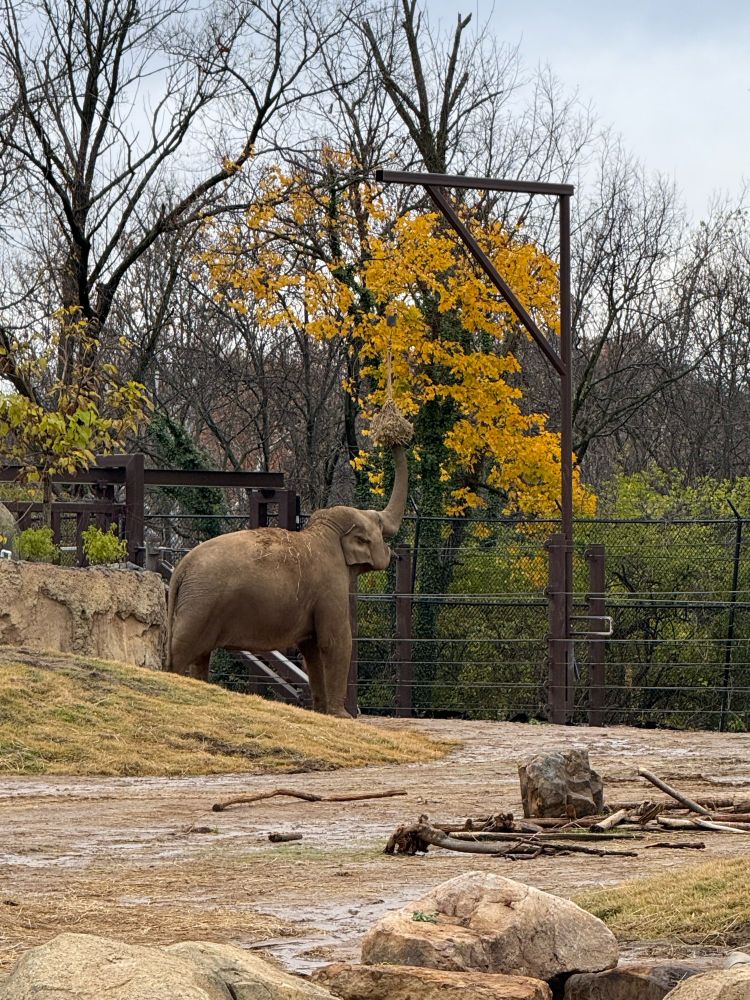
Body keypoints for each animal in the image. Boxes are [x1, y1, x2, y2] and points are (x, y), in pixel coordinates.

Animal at [166, 445, 408, 717]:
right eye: (379, 524)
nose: (394, 441)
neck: (326, 533)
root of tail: (182, 567)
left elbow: (311, 648)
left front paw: (320, 711)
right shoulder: (331, 584)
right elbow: (334, 641)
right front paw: (342, 716)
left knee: (200, 656)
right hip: (199, 605)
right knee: (182, 651)